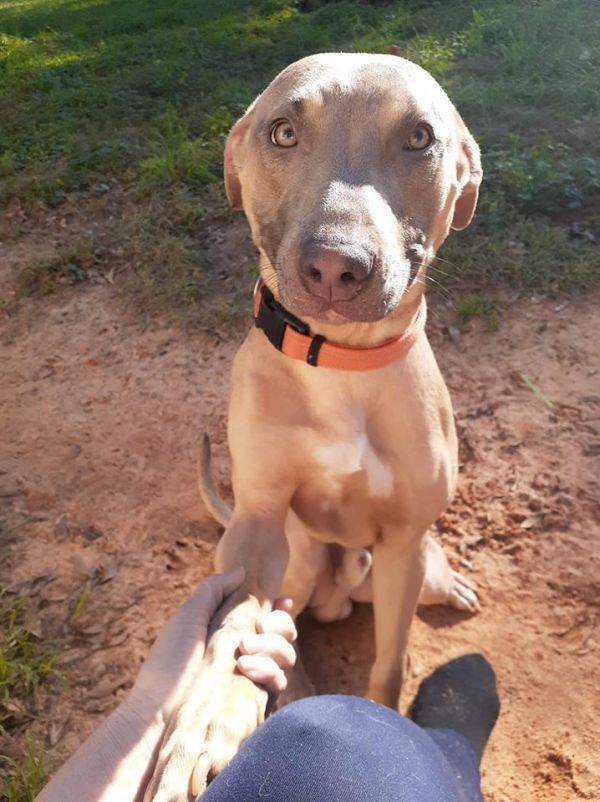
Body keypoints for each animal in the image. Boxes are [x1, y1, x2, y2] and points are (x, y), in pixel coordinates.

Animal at [144, 53, 482, 796]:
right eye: (283, 131)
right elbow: (227, 637)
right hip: (294, 562)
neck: (340, 367)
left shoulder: (403, 543)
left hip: (406, 564)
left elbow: (389, 665)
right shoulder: (257, 528)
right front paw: (202, 728)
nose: (335, 264)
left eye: (419, 137)